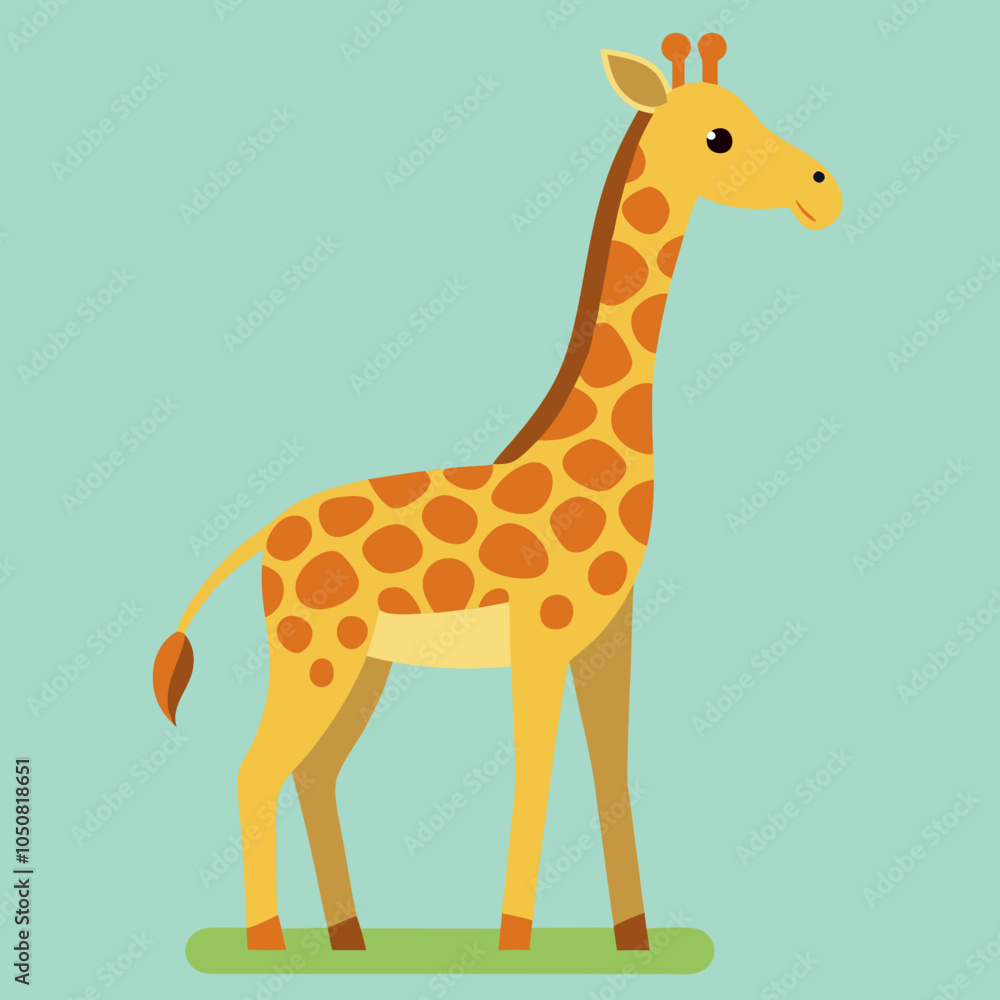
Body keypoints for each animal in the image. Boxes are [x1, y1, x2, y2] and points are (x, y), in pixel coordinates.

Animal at [154, 32, 841, 953]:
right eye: (719, 136)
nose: (823, 188)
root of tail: (261, 537)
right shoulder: (540, 636)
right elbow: (535, 772)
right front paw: (515, 939)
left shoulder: (608, 635)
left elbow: (612, 770)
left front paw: (634, 940)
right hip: (314, 654)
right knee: (255, 768)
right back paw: (270, 943)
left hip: (361, 664)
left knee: (315, 772)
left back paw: (351, 938)